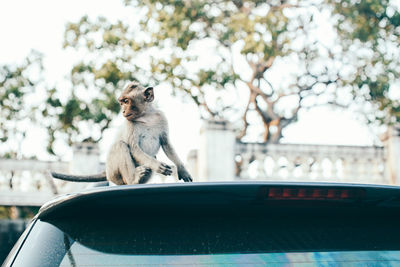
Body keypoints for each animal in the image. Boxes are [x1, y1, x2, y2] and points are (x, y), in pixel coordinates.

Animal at [50, 81, 193, 185]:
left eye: (126, 101)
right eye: (122, 102)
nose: (123, 111)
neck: (146, 116)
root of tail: (106, 171)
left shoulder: (161, 117)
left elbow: (167, 144)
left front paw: (182, 169)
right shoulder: (130, 124)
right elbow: (134, 148)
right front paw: (157, 165)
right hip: (113, 173)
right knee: (120, 145)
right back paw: (134, 179)